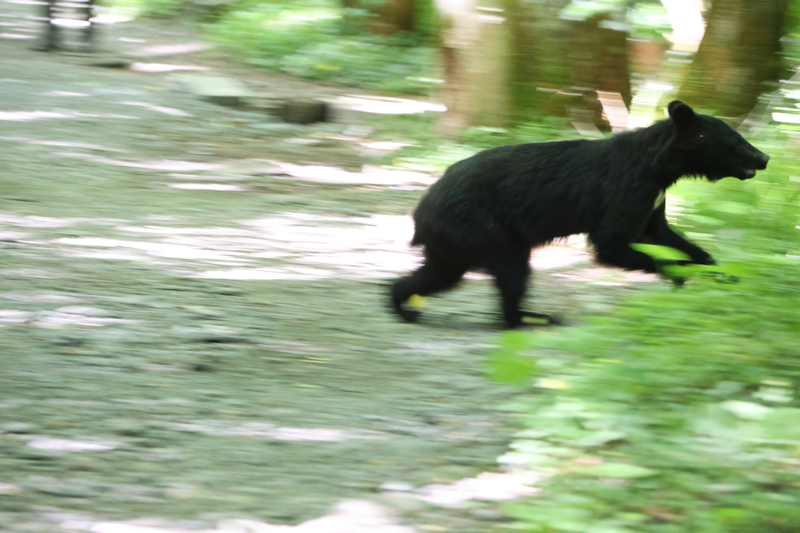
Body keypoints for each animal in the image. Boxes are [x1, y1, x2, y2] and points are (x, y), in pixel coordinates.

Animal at [390, 101, 770, 328]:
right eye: (735, 142)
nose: (764, 157)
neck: (658, 167)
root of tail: (421, 212)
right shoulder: (627, 188)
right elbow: (612, 242)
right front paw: (680, 274)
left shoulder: (654, 199)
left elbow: (663, 234)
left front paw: (719, 273)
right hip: (480, 226)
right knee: (512, 269)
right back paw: (528, 317)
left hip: (454, 240)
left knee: (440, 273)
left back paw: (403, 303)